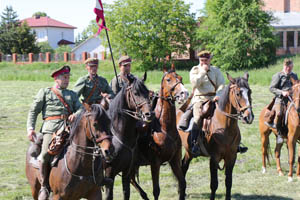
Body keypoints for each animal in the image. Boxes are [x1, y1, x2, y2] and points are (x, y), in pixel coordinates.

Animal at [130, 69, 189, 200]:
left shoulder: (175, 160)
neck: (164, 128)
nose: (184, 93)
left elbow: (182, 183)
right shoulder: (155, 164)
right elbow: (156, 190)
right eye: (168, 79)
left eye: (180, 78)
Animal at [177, 72, 254, 200]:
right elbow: (214, 184)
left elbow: (229, 182)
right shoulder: (214, 159)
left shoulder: (232, 157)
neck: (225, 128)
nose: (249, 117)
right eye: (238, 93)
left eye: (250, 92)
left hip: (189, 152)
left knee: (183, 166)